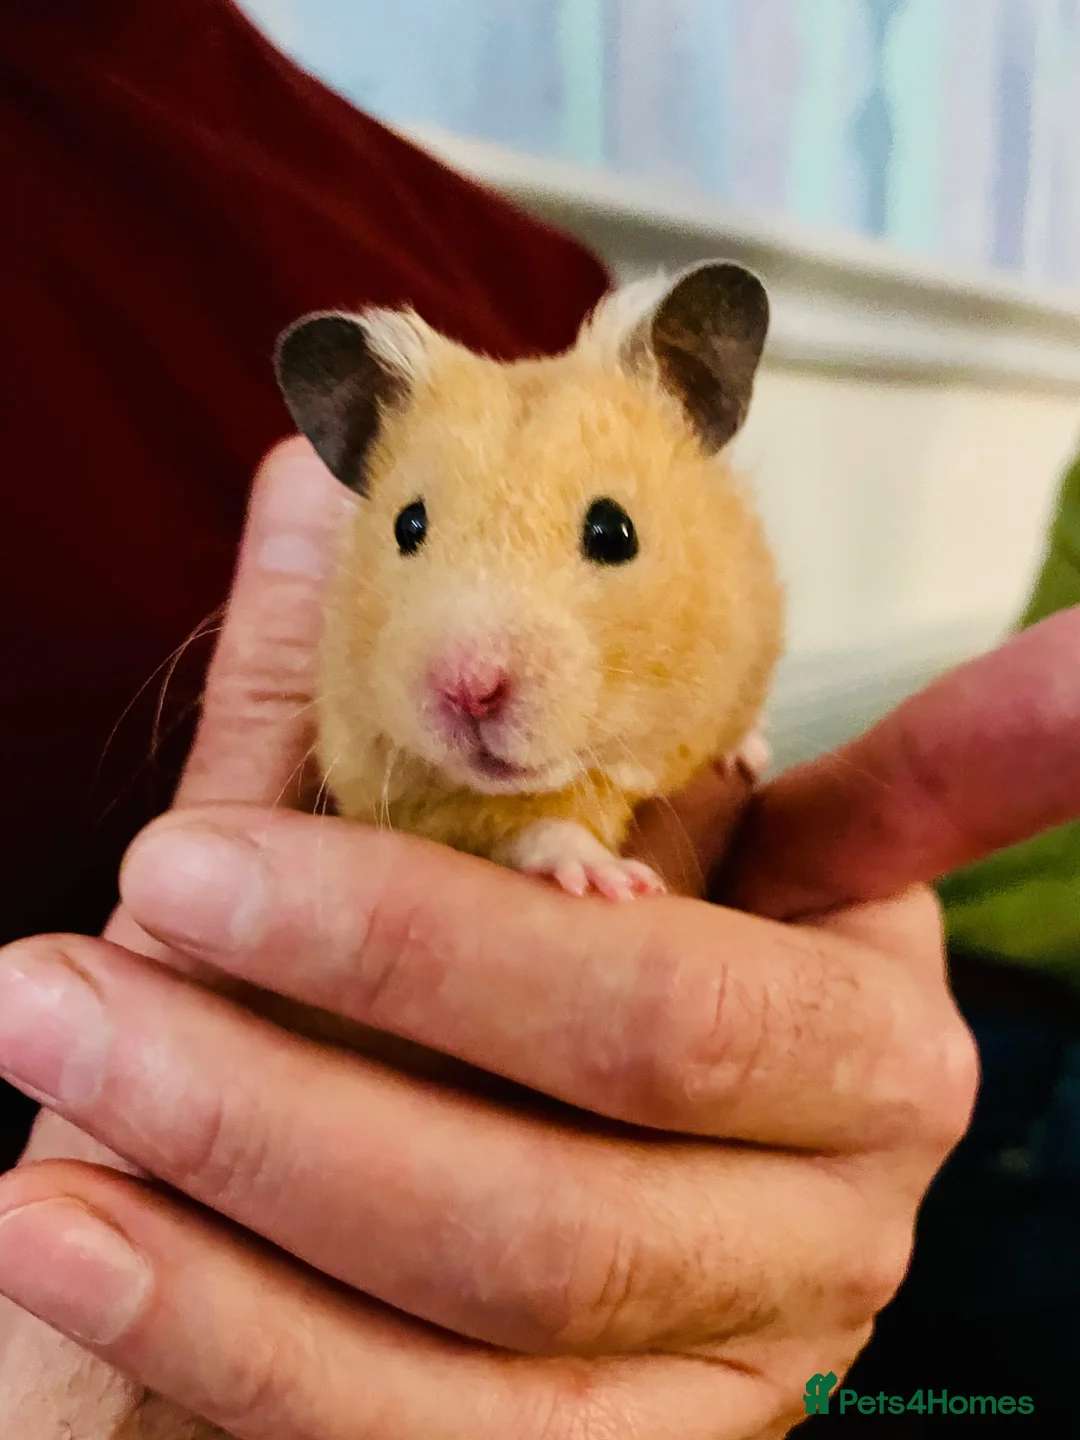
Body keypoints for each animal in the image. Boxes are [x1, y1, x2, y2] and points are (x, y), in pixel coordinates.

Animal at [274, 261, 784, 899]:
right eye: (407, 525)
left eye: (613, 532)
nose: (469, 690)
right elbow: (536, 826)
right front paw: (610, 880)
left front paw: (750, 755)